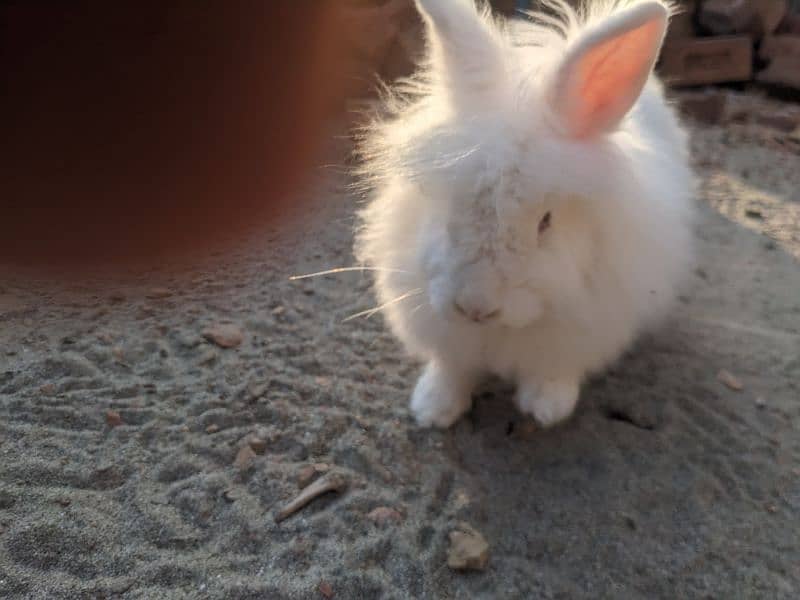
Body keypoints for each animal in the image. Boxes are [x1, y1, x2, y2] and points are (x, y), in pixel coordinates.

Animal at [356, 2, 692, 428]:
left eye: (545, 222)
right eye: (449, 205)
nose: (474, 308)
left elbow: (554, 370)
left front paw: (547, 408)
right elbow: (452, 367)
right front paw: (433, 409)